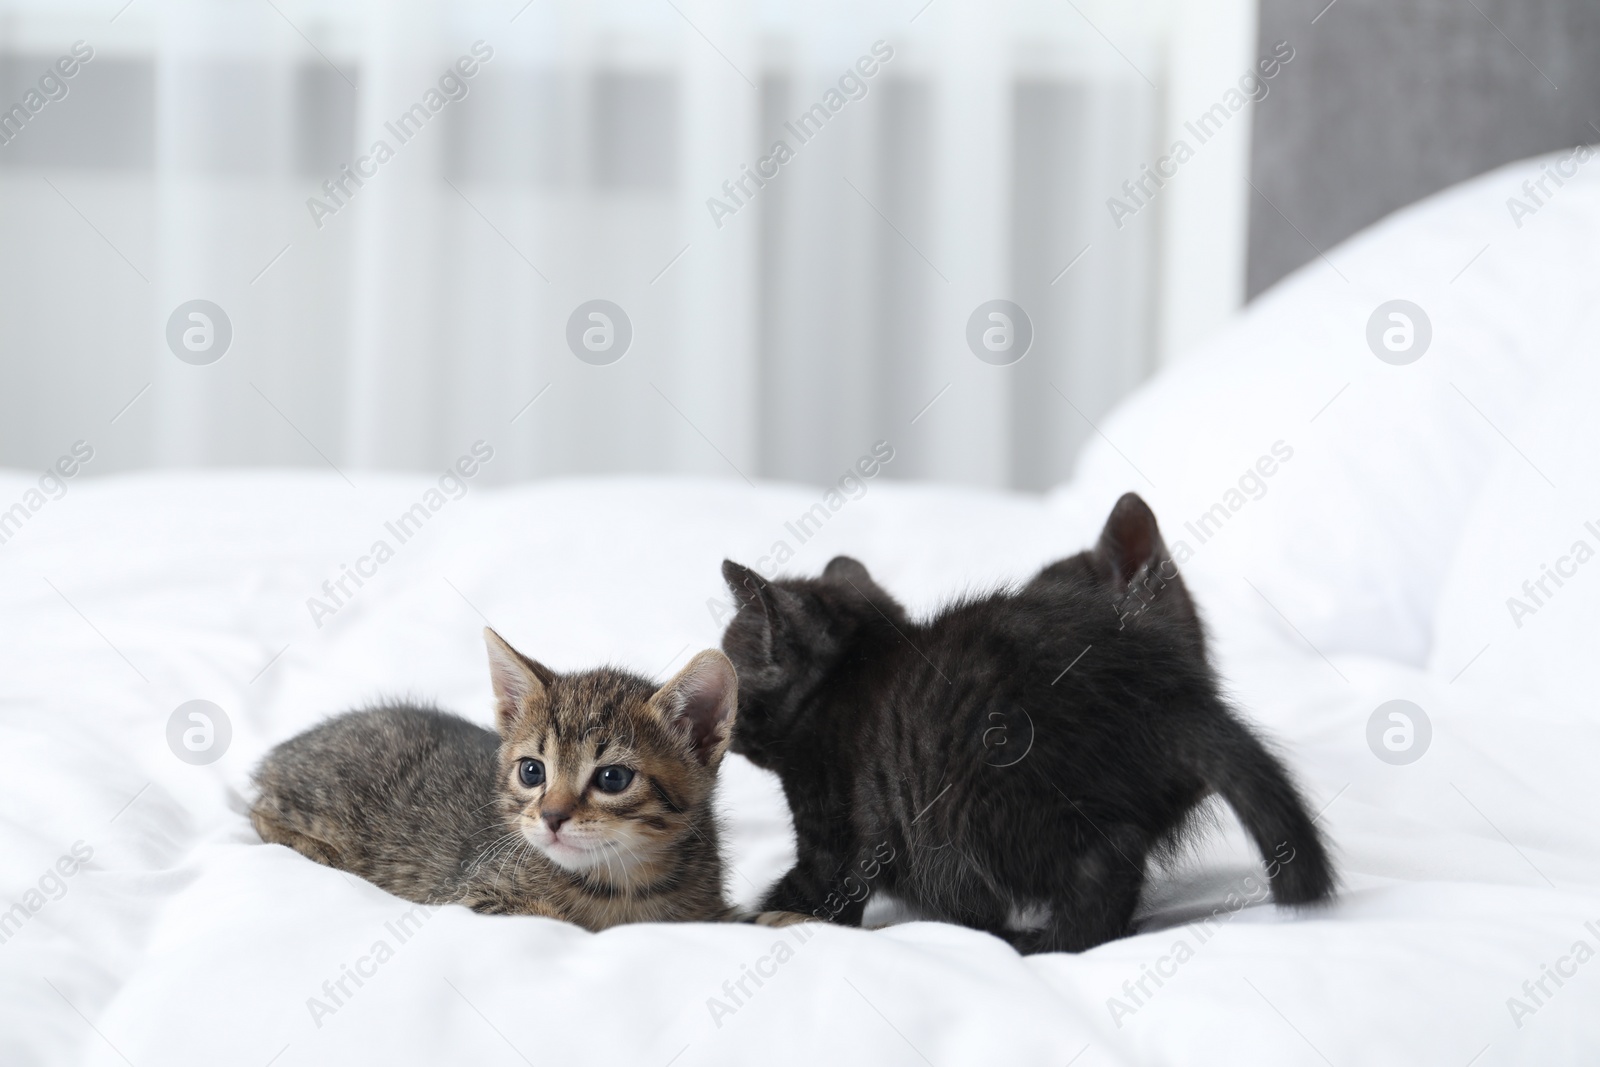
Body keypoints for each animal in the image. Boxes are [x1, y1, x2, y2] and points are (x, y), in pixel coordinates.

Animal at [252, 630, 796, 927]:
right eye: (532, 771)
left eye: (613, 778)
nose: (551, 817)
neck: (624, 882)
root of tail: (282, 751)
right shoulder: (466, 895)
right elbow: (557, 919)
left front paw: (786, 917)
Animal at [720, 492, 1331, 953]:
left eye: (728, 662)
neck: (844, 677)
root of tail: (1163, 695)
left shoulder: (833, 832)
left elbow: (811, 888)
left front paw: (747, 917)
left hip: (985, 799)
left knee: (1105, 860)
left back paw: (1042, 941)